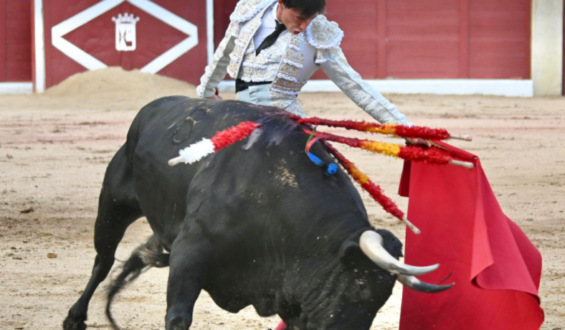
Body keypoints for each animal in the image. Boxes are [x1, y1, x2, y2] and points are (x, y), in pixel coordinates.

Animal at [62, 96, 450, 330]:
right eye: (358, 289)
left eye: (382, 301)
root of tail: (152, 108)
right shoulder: (190, 252)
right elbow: (178, 317)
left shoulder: (291, 293)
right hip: (113, 203)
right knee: (103, 260)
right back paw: (74, 317)